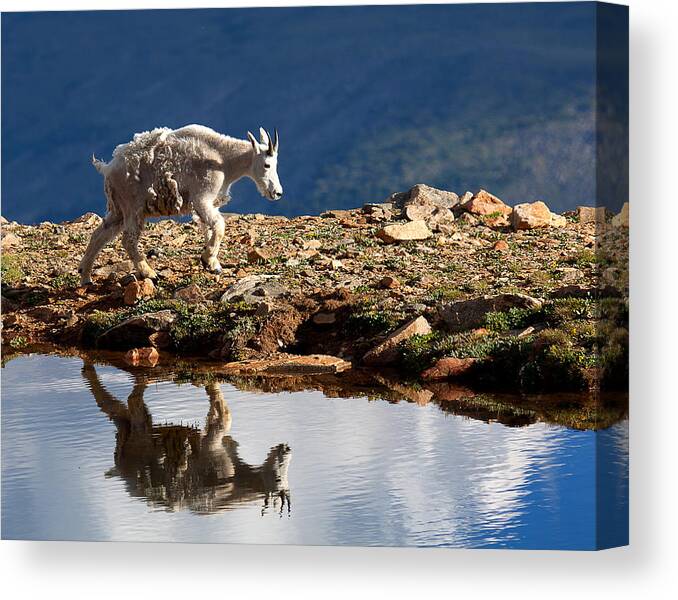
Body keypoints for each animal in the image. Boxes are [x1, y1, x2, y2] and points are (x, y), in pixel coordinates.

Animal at [78, 124, 282, 286]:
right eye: (267, 165)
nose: (277, 193)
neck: (223, 159)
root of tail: (107, 169)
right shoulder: (202, 197)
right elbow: (219, 226)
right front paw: (208, 259)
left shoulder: (206, 203)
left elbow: (209, 228)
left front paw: (212, 264)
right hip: (132, 207)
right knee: (128, 240)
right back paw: (148, 273)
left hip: (118, 209)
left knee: (99, 235)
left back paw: (85, 276)